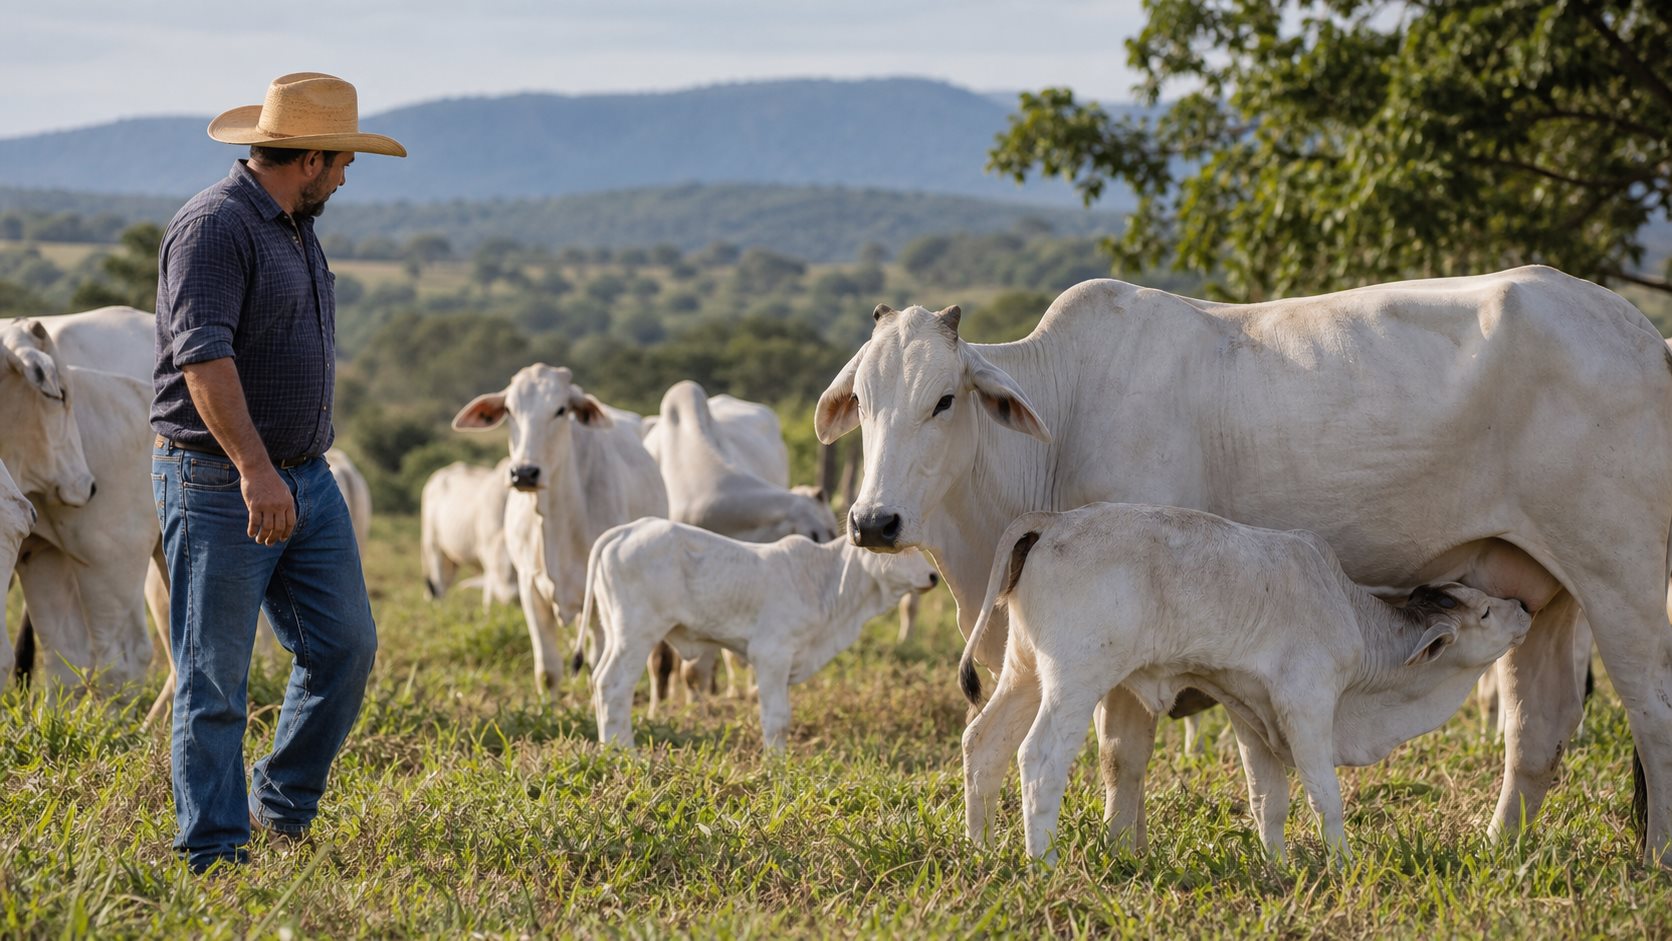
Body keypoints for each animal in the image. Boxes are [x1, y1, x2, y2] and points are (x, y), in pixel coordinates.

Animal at [453, 364, 668, 697]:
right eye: (510, 410)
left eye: (561, 410)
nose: (524, 473)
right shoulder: (529, 588)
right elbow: (548, 671)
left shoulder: (597, 595)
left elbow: (595, 665)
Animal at [583, 517, 939, 750]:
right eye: (899, 553)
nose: (933, 577)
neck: (824, 581)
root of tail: (626, 530)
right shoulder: (771, 655)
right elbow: (777, 718)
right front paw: (776, 762)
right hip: (637, 634)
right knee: (614, 685)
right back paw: (624, 751)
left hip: (616, 632)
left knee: (599, 679)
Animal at [959, 503, 1531, 862]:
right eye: (1484, 611)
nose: (1524, 607)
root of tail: (1053, 521)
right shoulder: (1307, 704)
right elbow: (1326, 796)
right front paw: (1344, 864)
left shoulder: (1251, 713)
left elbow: (1268, 800)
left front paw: (1277, 865)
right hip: (1074, 681)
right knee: (1038, 758)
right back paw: (1043, 862)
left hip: (1024, 669)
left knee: (983, 743)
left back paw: (982, 849)